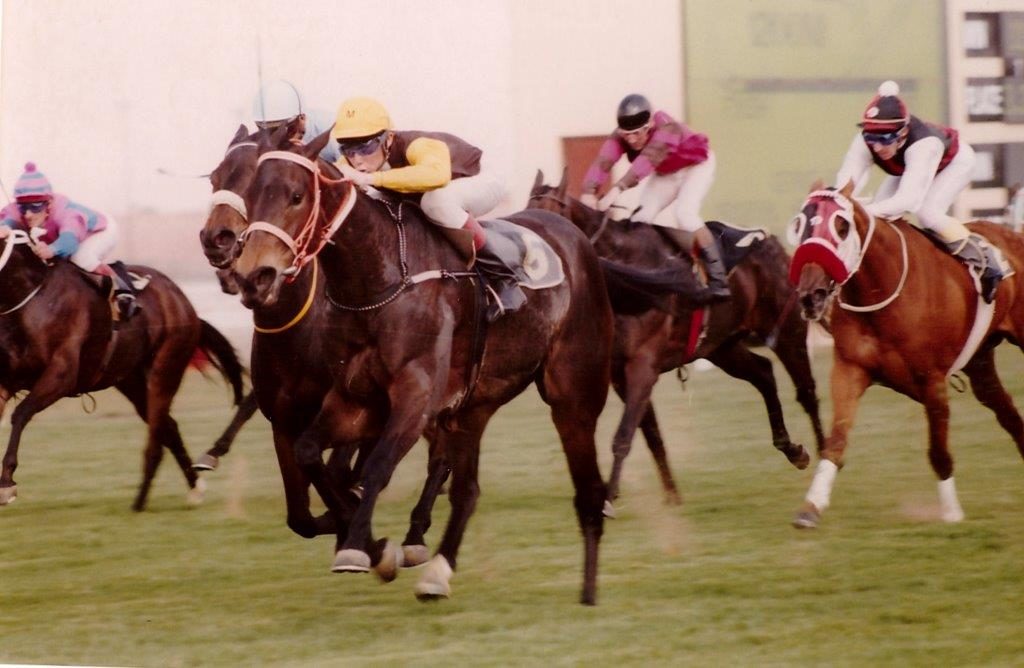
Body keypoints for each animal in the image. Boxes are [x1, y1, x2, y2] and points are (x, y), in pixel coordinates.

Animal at [0, 229, 245, 512]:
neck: (29, 296)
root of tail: (186, 305)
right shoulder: (7, 380)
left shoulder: (60, 375)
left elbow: (20, 414)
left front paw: (7, 484)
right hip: (132, 381)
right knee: (168, 427)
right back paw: (194, 487)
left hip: (165, 368)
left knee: (157, 438)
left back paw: (140, 502)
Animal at [201, 123, 450, 565]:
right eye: (215, 177)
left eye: (250, 177)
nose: (217, 239)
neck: (296, 330)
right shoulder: (285, 420)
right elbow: (301, 515)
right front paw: (355, 532)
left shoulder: (350, 406)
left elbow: (340, 476)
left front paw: (360, 534)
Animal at [234, 126, 614, 606]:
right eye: (250, 195)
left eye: (296, 195)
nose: (253, 277)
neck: (377, 279)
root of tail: (574, 235)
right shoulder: (354, 399)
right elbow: (310, 453)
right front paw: (373, 544)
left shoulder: (415, 398)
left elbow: (376, 466)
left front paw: (360, 549)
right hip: (475, 406)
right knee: (468, 491)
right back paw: (438, 570)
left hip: (573, 396)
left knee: (588, 489)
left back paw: (589, 591)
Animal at [528, 171, 823, 506]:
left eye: (548, 217)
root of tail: (771, 243)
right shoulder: (619, 373)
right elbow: (650, 434)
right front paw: (671, 496)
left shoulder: (643, 365)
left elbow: (624, 435)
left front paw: (609, 498)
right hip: (721, 347)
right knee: (763, 373)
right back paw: (793, 450)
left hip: (788, 332)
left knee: (807, 392)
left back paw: (824, 460)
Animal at [786, 181, 1019, 528]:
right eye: (800, 224)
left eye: (841, 226)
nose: (810, 296)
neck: (880, 290)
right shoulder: (849, 368)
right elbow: (836, 439)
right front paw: (810, 507)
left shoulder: (932, 380)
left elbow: (938, 451)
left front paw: (951, 514)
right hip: (980, 362)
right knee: (1007, 413)